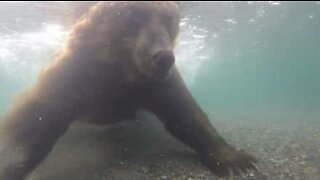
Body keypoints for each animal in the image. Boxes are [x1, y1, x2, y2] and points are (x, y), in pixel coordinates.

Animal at [0, 1, 256, 179]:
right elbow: (32, 124)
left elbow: (185, 113)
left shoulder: (153, 84)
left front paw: (238, 160)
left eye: (168, 19)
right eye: (134, 15)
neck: (121, 72)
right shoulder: (75, 75)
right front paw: (8, 165)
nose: (163, 57)